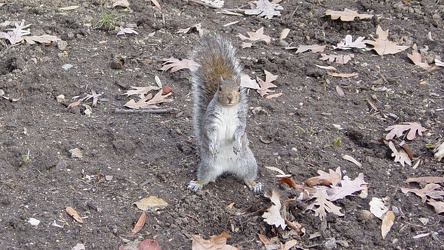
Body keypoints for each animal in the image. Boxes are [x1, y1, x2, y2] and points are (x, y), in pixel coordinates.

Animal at [186, 33, 262, 193]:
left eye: (239, 89)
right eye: (220, 88)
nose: (230, 97)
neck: (228, 108)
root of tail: (228, 167)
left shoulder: (240, 120)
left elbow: (240, 131)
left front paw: (237, 143)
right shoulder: (212, 120)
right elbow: (210, 132)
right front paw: (213, 144)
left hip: (248, 163)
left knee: (247, 177)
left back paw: (254, 184)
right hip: (208, 166)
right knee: (205, 177)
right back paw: (197, 183)